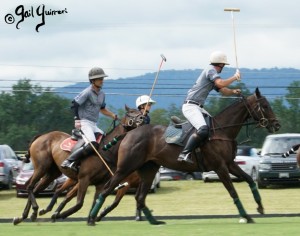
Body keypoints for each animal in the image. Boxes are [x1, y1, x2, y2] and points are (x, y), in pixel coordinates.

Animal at [12, 105, 146, 225]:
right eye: (131, 112)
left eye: (139, 111)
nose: (143, 118)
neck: (106, 150)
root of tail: (41, 136)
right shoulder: (84, 179)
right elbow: (79, 203)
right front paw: (58, 214)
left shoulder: (100, 183)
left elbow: (95, 202)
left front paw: (91, 219)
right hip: (41, 167)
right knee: (30, 186)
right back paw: (35, 210)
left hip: (52, 173)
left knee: (36, 189)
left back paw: (24, 216)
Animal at [88, 88, 282, 225]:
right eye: (265, 106)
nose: (277, 125)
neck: (222, 130)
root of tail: (129, 133)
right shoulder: (220, 167)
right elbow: (233, 191)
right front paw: (245, 215)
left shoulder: (229, 164)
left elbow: (249, 180)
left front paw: (259, 207)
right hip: (125, 167)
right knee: (107, 189)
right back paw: (92, 218)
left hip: (149, 169)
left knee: (140, 197)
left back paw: (154, 221)